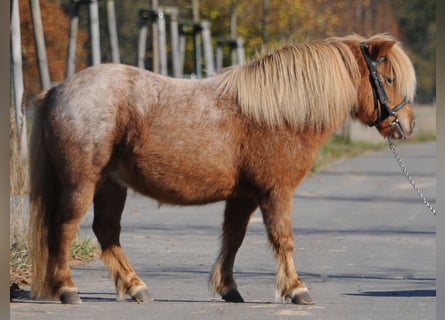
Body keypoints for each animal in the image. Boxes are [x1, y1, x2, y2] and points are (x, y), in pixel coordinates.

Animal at [29, 34, 414, 304]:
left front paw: (228, 288)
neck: (279, 113)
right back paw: (67, 289)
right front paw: (296, 289)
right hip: (82, 183)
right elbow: (283, 239)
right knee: (65, 228)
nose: (406, 125)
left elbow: (234, 238)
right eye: (389, 79)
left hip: (111, 185)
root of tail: (57, 91)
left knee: (106, 232)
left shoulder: (244, 197)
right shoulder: (275, 193)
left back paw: (137, 287)